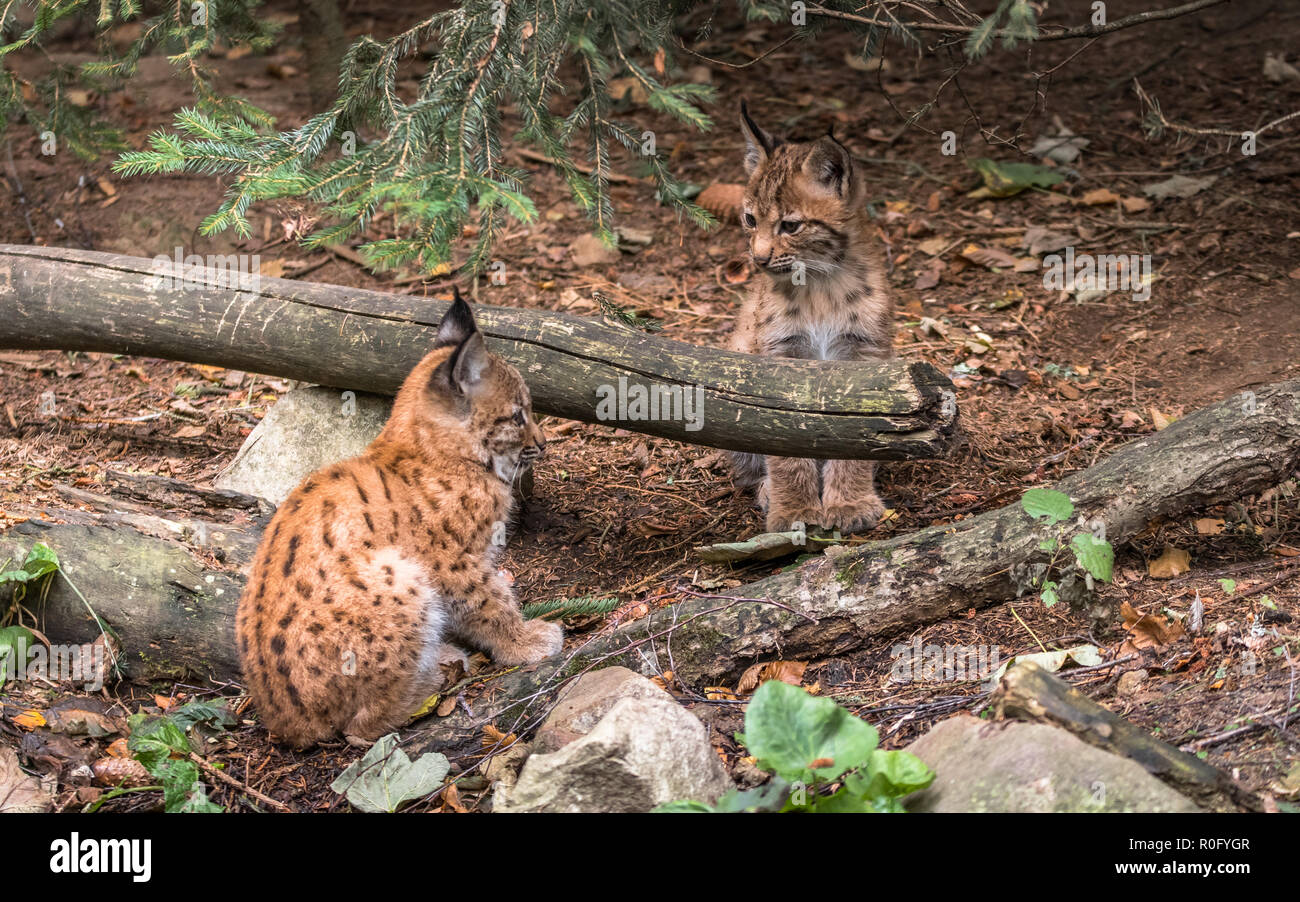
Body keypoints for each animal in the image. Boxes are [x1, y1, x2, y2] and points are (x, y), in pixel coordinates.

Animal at [236, 295, 561, 748]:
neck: (437, 450)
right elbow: (491, 602)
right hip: (399, 575)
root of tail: (286, 723)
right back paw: (435, 679)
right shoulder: (454, 563)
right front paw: (524, 642)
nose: (544, 444)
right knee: (360, 730)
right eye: (518, 416)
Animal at [733, 101, 894, 532]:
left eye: (790, 226)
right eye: (750, 220)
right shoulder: (779, 355)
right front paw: (793, 511)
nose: (758, 259)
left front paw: (850, 504)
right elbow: (783, 444)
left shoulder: (862, 355)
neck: (819, 281)